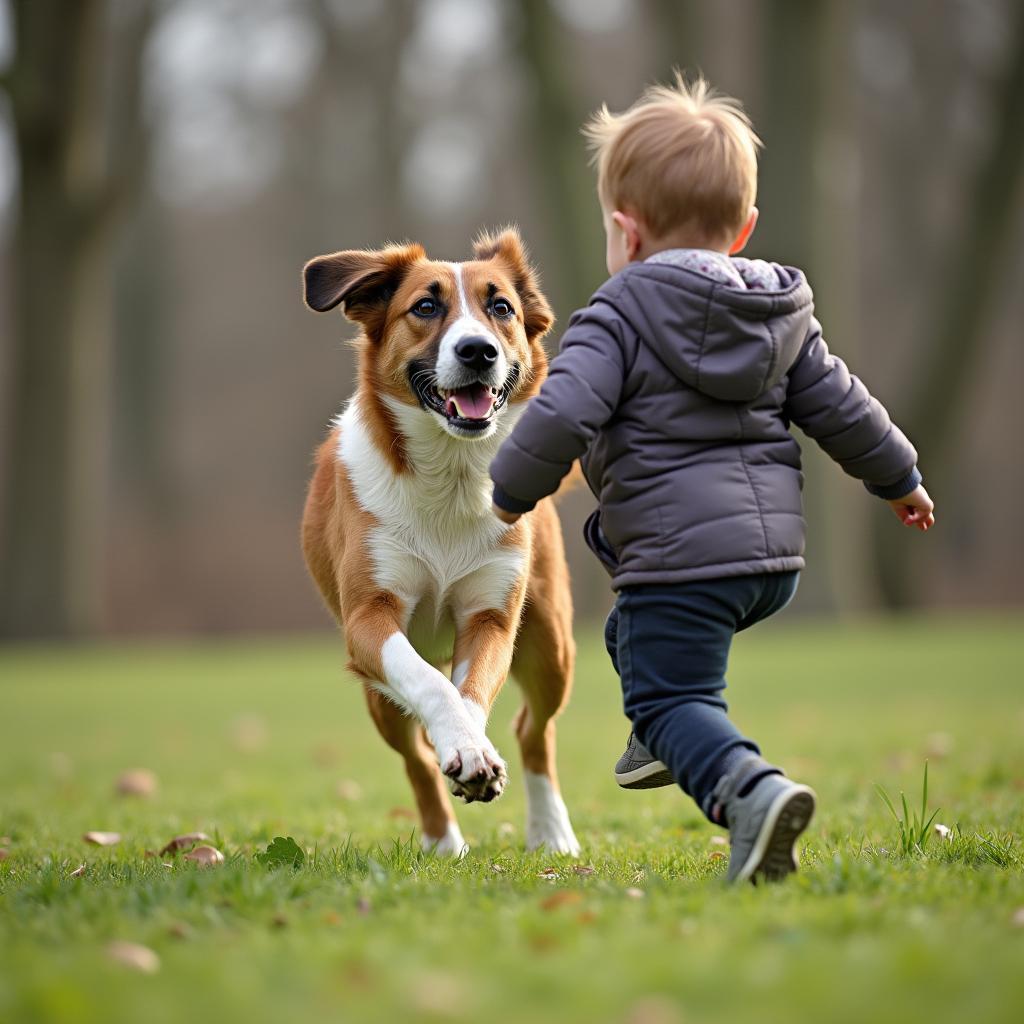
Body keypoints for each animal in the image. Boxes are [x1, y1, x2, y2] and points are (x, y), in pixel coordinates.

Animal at [299, 230, 581, 856]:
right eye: (425, 307)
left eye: (501, 307)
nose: (478, 351)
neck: (450, 478)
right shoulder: (370, 619)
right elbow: (431, 686)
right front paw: (464, 752)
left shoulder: (491, 617)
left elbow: (470, 693)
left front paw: (473, 749)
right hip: (376, 695)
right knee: (414, 756)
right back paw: (444, 841)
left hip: (550, 641)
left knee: (535, 729)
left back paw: (551, 833)